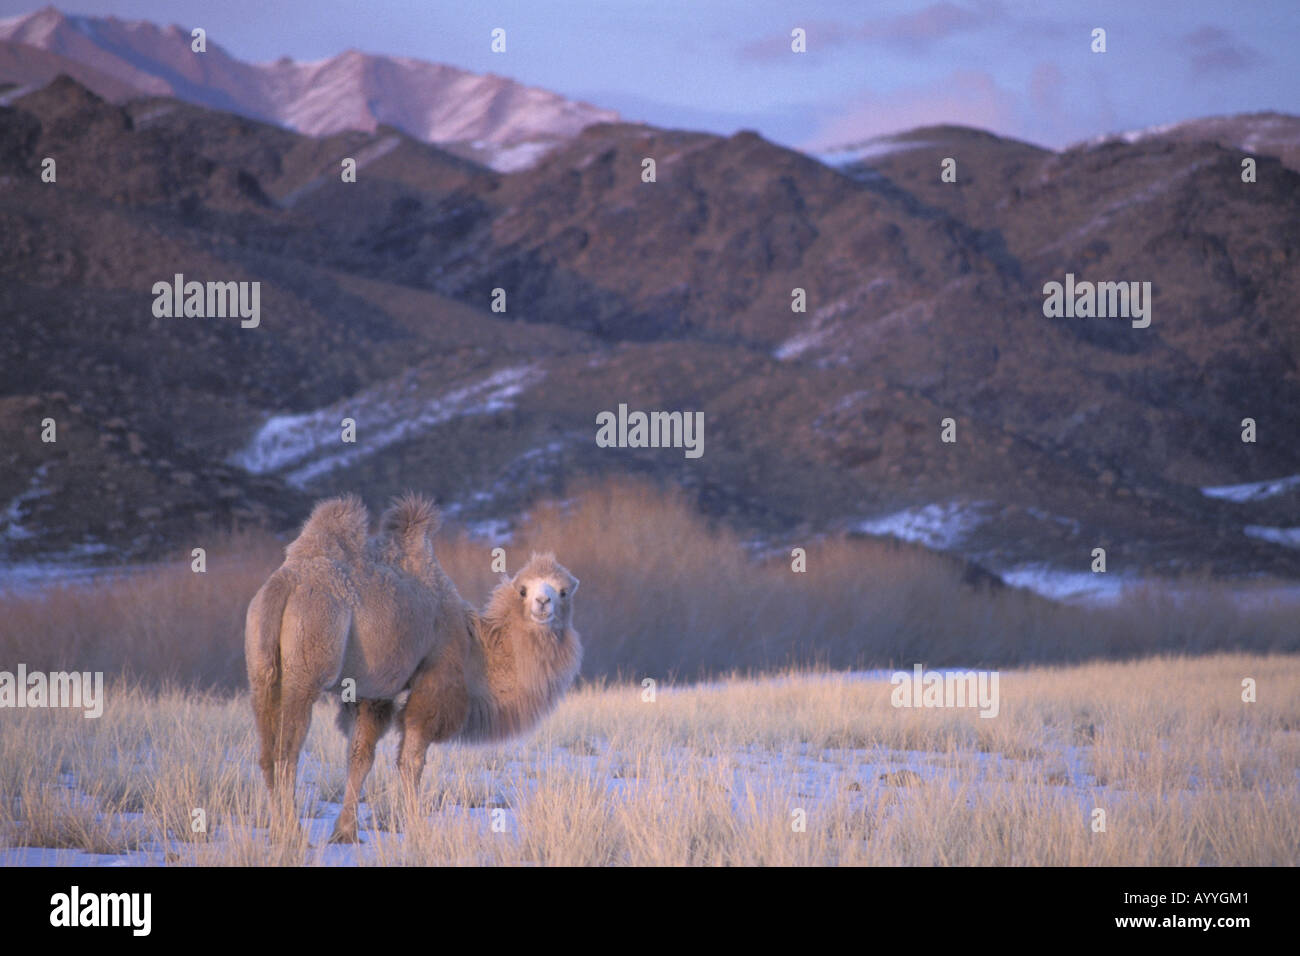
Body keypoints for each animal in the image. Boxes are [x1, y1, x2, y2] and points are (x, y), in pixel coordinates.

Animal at [244, 493, 582, 842]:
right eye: (524, 590)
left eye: (563, 591)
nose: (543, 603)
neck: (473, 641)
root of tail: (284, 584)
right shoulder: (435, 676)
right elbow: (412, 759)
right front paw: (417, 825)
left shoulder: (373, 691)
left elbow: (360, 756)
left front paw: (346, 832)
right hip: (308, 660)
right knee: (287, 749)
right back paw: (292, 832)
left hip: (262, 667)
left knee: (266, 748)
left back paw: (279, 829)